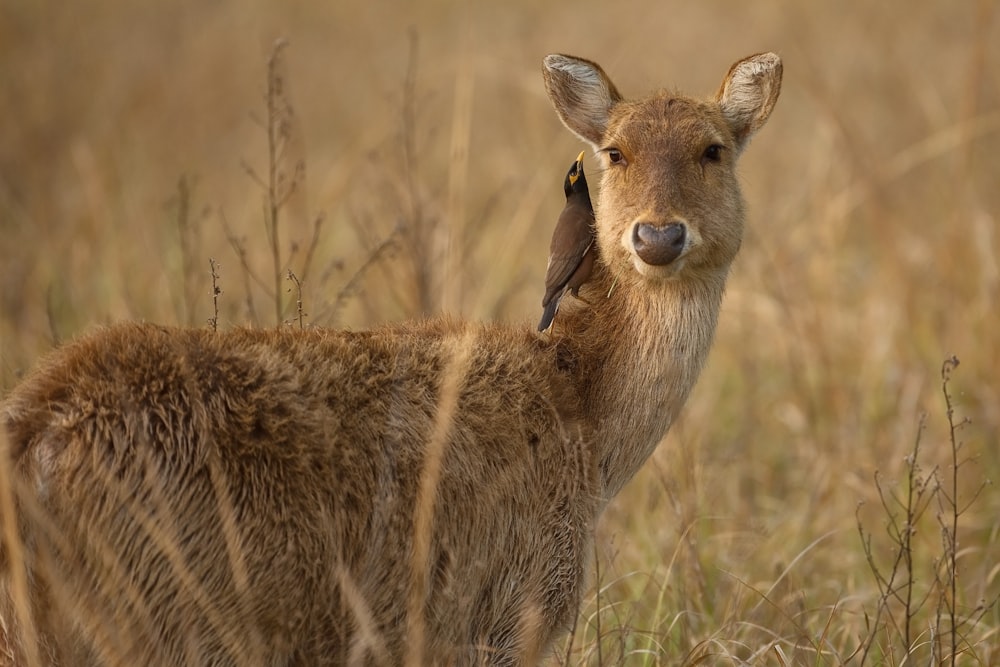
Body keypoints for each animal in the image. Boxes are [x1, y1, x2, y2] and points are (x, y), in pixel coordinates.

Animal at [1, 52, 780, 667]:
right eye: (615, 151)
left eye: (713, 148)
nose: (657, 236)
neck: (585, 423)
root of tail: (36, 438)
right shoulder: (498, 613)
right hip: (162, 613)